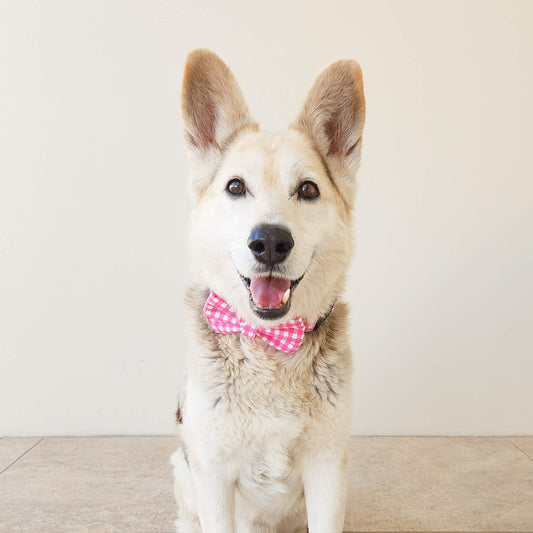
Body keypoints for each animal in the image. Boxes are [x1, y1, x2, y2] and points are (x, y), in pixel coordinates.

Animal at [172, 50, 364, 532]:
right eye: (236, 186)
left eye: (308, 189)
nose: (271, 242)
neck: (270, 347)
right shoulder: (213, 477)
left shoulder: (327, 470)